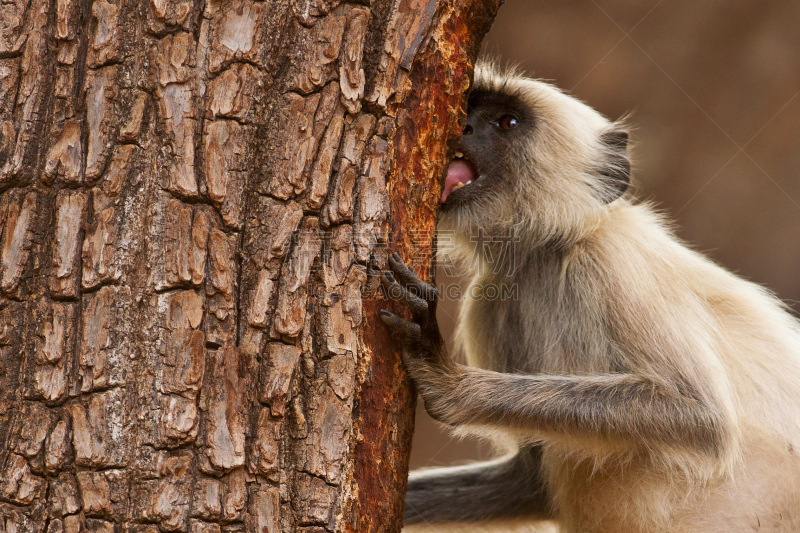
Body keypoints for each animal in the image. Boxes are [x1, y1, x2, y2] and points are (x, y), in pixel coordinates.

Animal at [378, 63, 800, 532]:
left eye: (507, 122)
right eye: (471, 110)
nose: (463, 127)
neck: (550, 250)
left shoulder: (613, 261)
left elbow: (699, 416)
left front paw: (446, 380)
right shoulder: (492, 302)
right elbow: (529, 480)